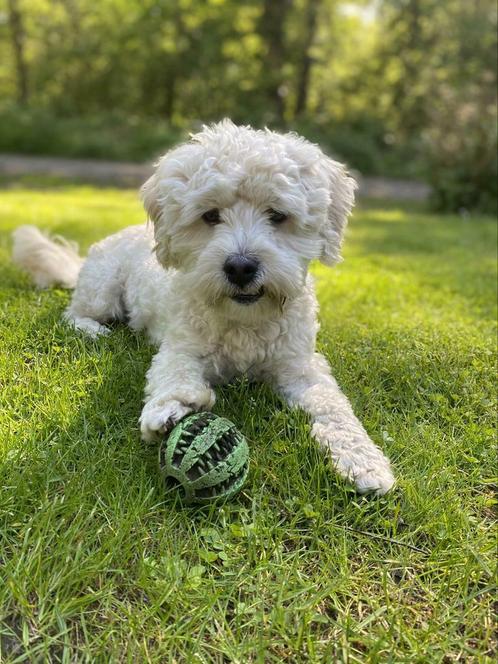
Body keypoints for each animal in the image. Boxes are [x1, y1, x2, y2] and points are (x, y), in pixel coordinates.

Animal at [12, 120, 392, 492]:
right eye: (210, 215)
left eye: (277, 214)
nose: (240, 267)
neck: (244, 321)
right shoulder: (180, 348)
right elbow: (173, 373)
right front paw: (174, 407)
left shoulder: (300, 366)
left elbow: (333, 405)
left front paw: (362, 459)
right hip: (103, 288)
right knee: (74, 314)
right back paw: (94, 330)